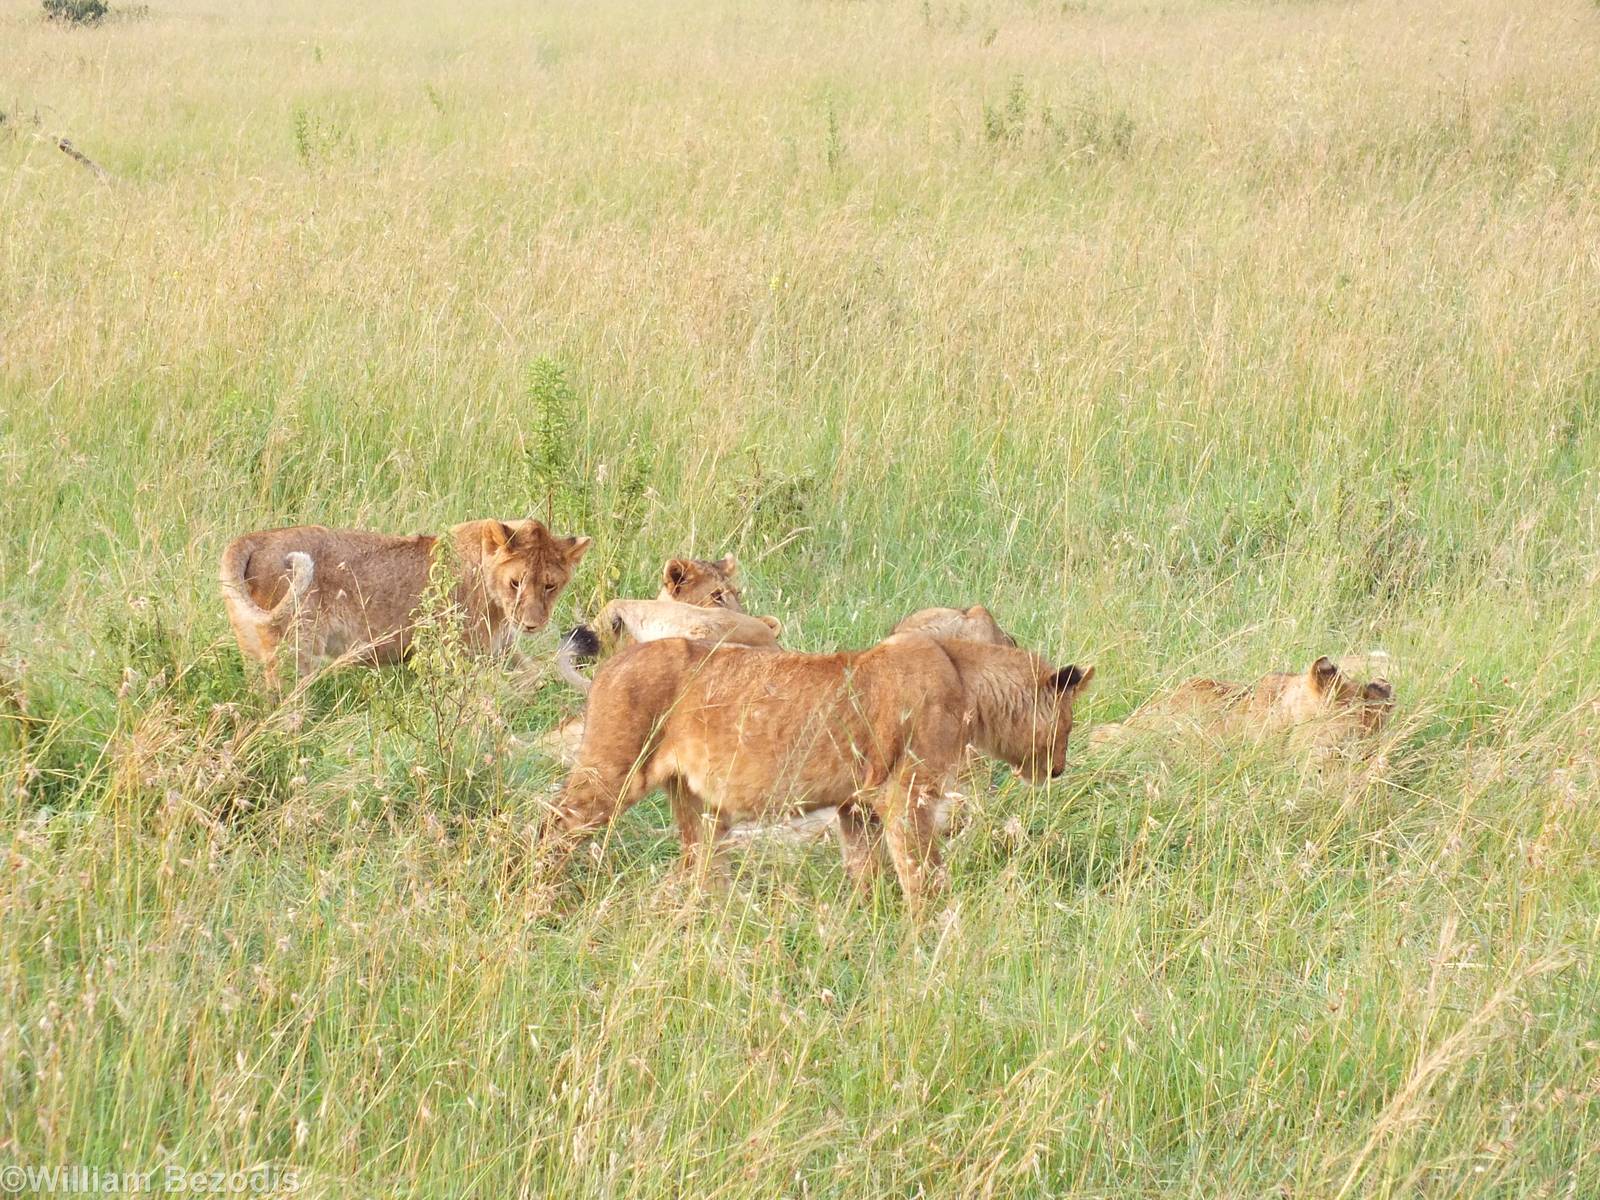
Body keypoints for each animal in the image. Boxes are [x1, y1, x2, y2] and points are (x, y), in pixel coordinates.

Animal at [220, 519, 591, 694]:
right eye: (516, 582)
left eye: (550, 585)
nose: (531, 624)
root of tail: (255, 538)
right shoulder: (455, 656)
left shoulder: (502, 648)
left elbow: (534, 676)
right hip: (295, 650)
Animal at [546, 634, 1094, 908]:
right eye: (1069, 721)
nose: (1059, 769)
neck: (967, 680)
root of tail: (614, 661)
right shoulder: (908, 796)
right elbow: (924, 875)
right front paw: (931, 934)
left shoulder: (857, 806)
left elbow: (867, 871)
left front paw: (868, 924)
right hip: (611, 773)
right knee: (551, 826)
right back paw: (537, 898)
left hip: (698, 807)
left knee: (695, 869)